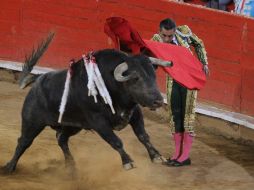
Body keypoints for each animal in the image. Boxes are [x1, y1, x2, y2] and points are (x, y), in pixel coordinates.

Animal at [3, 33, 169, 173]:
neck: (112, 86)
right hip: (32, 122)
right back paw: (9, 167)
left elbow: (143, 135)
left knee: (61, 138)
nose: (158, 101)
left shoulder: (135, 113)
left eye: (154, 76)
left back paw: (71, 167)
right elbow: (116, 141)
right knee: (24, 141)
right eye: (135, 78)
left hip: (73, 125)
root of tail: (37, 79)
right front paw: (128, 162)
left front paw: (157, 156)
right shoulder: (98, 122)